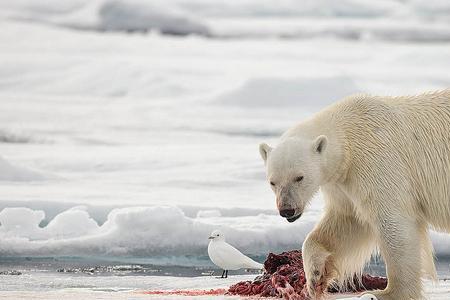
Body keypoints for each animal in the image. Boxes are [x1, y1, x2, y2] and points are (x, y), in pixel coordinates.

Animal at [258, 91, 448, 300]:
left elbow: (393, 221)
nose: (287, 209)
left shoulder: (376, 161)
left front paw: (388, 292)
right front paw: (316, 278)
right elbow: (347, 221)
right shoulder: (343, 183)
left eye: (299, 177)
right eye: (272, 182)